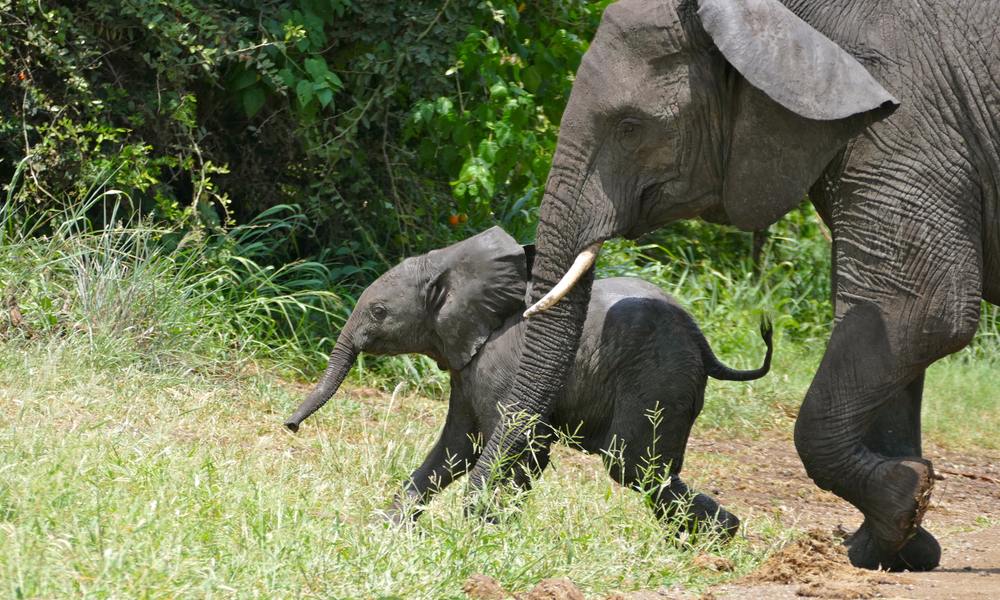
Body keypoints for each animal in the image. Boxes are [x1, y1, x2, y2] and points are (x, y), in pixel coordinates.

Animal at [284, 227, 773, 536]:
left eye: (379, 312)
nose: (290, 427)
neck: (455, 265)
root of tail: (703, 343)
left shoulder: (501, 365)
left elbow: (521, 449)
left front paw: (486, 536)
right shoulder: (468, 368)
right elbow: (457, 448)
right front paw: (385, 531)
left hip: (659, 375)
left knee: (634, 465)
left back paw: (714, 540)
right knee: (646, 469)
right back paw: (709, 541)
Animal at [467, 0, 999, 572]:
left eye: (631, 127)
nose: (479, 518)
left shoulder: (912, 127)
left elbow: (919, 311)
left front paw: (904, 501)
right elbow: (889, 326)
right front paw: (895, 548)